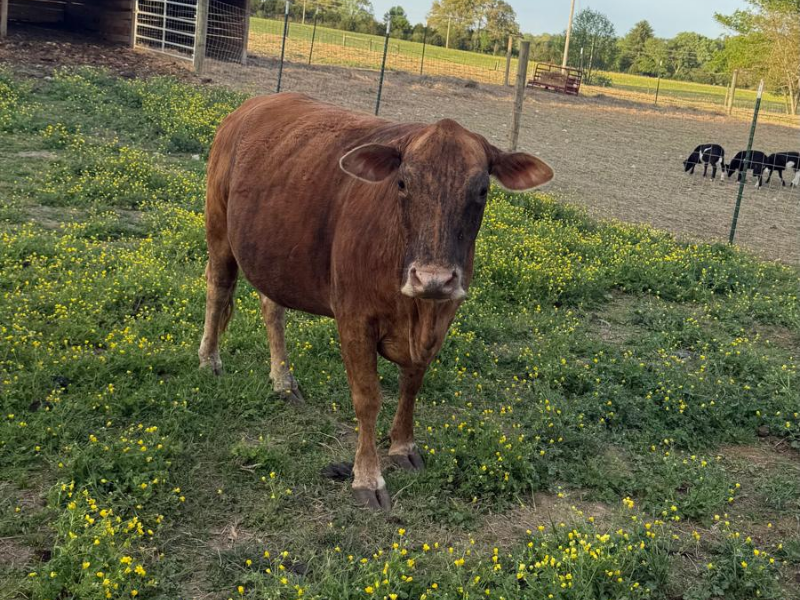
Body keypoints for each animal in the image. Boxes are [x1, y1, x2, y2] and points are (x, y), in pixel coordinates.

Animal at [198, 93, 554, 510]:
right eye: (402, 182)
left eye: (482, 190)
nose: (433, 279)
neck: (416, 313)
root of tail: (251, 106)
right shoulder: (354, 319)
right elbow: (367, 398)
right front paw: (367, 478)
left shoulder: (439, 321)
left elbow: (411, 386)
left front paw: (402, 446)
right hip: (219, 228)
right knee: (218, 287)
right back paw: (209, 360)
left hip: (274, 257)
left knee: (273, 308)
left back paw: (283, 381)